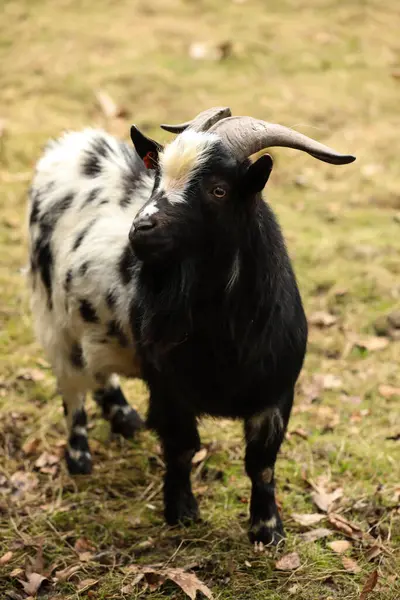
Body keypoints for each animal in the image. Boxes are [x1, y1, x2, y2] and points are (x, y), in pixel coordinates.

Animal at [27, 108, 354, 544]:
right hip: (52, 314)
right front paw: (180, 510)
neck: (226, 334)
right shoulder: (169, 388)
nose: (140, 228)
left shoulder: (277, 392)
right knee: (71, 386)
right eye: (157, 178)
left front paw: (266, 529)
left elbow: (262, 463)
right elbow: (182, 448)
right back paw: (80, 457)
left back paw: (123, 416)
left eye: (218, 190)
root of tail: (70, 145)